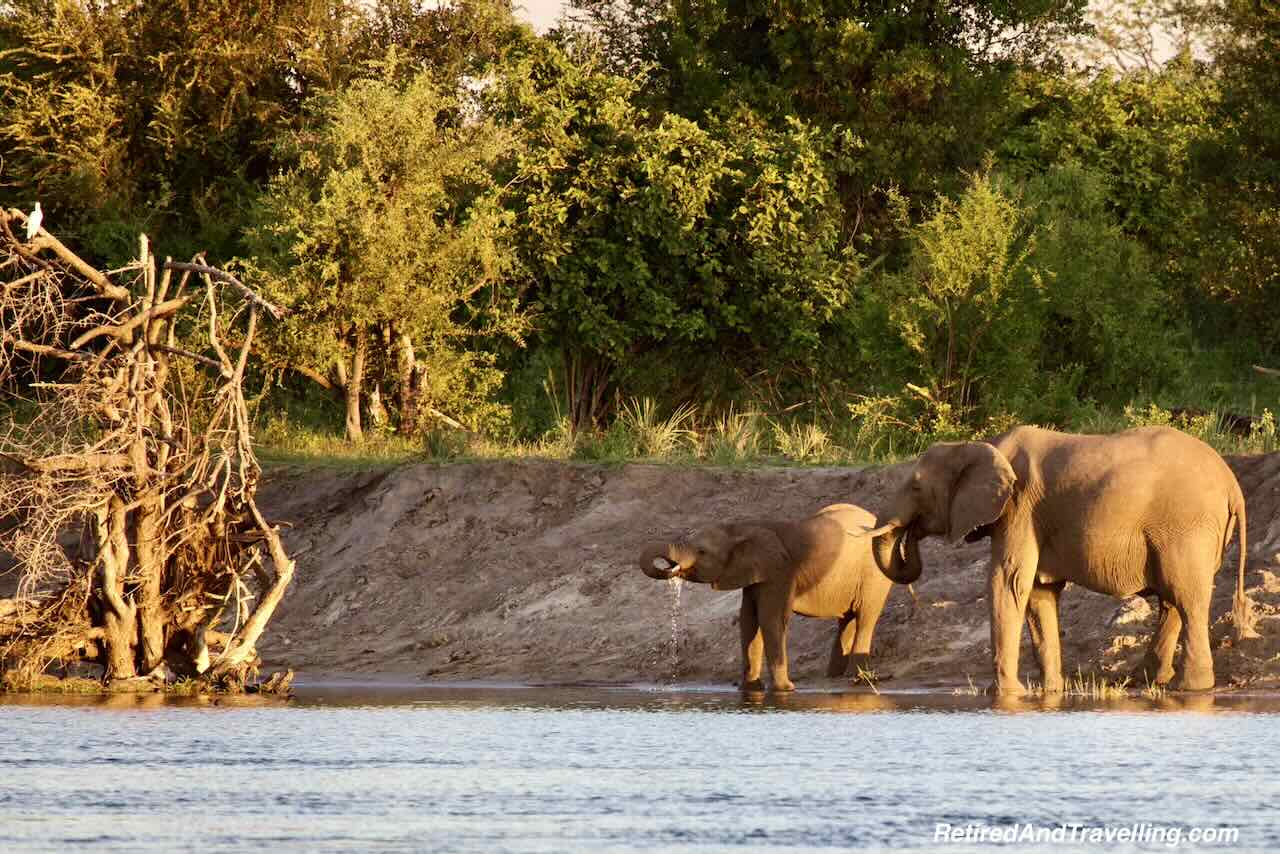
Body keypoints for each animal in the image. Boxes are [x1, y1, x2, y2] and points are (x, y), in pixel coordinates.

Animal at [637, 501, 901, 696]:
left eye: (702, 552)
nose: (670, 568)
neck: (742, 527)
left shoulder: (780, 571)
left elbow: (770, 619)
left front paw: (785, 690)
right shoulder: (754, 573)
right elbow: (748, 620)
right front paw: (751, 689)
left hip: (875, 573)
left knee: (866, 616)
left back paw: (855, 678)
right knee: (847, 619)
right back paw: (834, 677)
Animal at [865, 425, 1254, 696]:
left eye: (916, 487)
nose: (908, 536)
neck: (982, 445)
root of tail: (1233, 484)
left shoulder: (1019, 508)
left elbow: (1007, 581)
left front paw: (1004, 695)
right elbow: (1039, 592)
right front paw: (1050, 692)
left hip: (1187, 528)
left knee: (1187, 598)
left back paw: (1189, 688)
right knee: (1172, 601)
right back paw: (1148, 682)